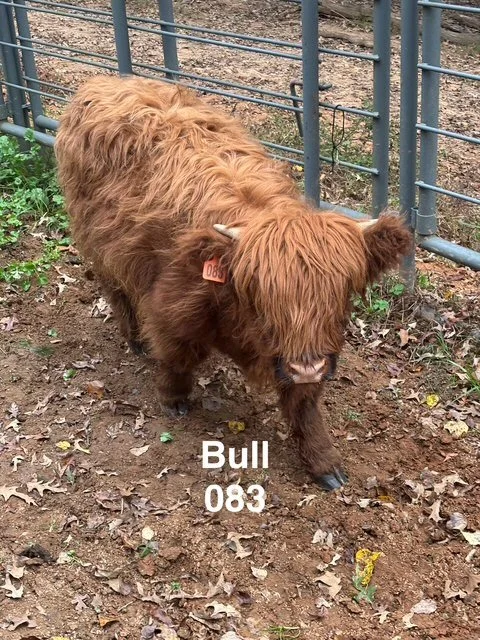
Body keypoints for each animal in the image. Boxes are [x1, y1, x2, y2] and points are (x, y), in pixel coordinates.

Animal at [55, 75, 412, 490]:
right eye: (262, 294)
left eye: (342, 292)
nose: (306, 367)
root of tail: (103, 81)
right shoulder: (172, 309)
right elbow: (177, 357)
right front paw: (173, 400)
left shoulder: (308, 348)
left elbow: (305, 405)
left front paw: (325, 464)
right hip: (97, 242)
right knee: (116, 292)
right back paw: (136, 339)